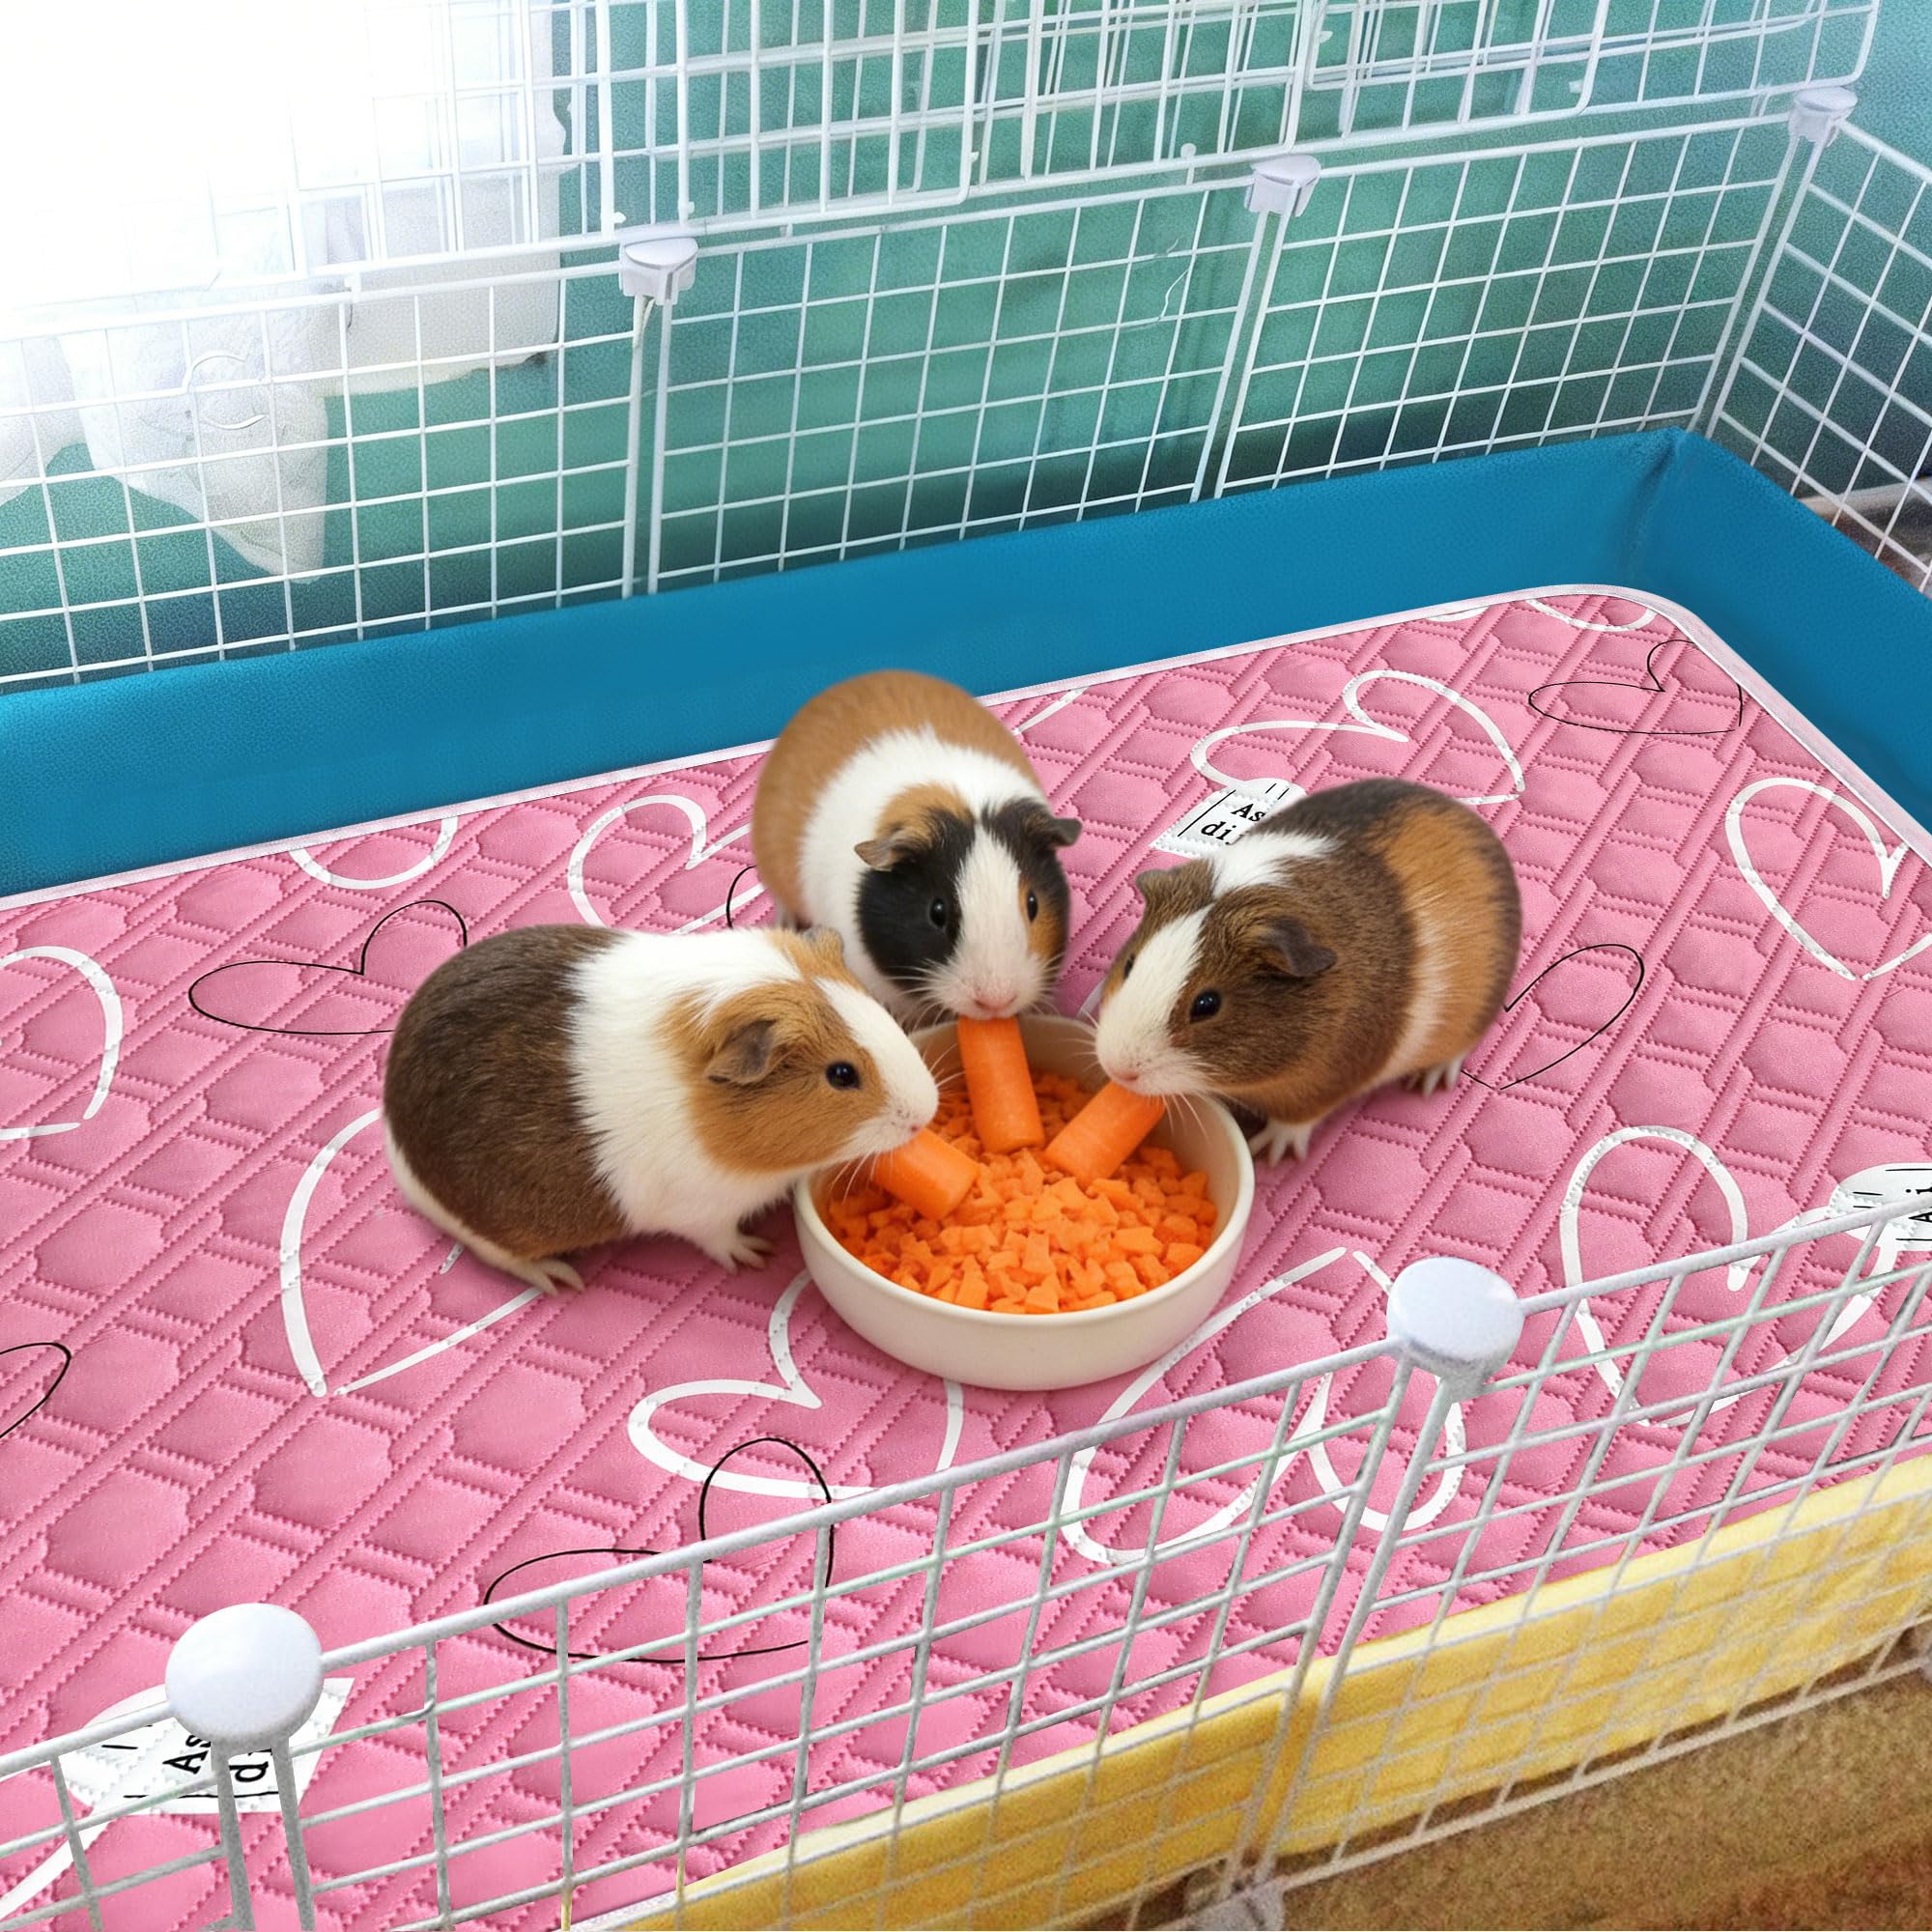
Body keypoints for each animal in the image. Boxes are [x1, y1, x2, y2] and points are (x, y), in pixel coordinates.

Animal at [382, 923, 938, 1286]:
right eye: (842, 1074)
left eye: (874, 1008)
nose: (925, 1113)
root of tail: (396, 1138)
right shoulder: (701, 1210)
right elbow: (718, 1239)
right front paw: (756, 1254)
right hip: (499, 1233)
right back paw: (559, 1278)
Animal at [1093, 777, 1520, 1165]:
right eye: (1129, 964)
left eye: (1207, 1004)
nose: (1119, 1070)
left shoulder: (1325, 1081)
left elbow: (1296, 1119)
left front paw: (1268, 1153)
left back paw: (1430, 1082)